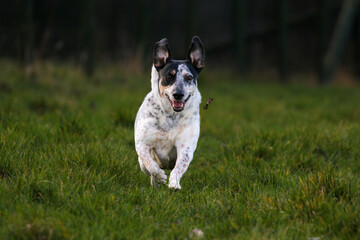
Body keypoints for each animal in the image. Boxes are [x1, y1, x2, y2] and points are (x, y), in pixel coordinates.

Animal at [134, 36, 204, 189]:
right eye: (168, 76)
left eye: (189, 77)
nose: (178, 94)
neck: (170, 117)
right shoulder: (143, 145)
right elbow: (151, 164)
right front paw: (160, 176)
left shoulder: (186, 147)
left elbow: (179, 167)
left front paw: (174, 184)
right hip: (141, 163)